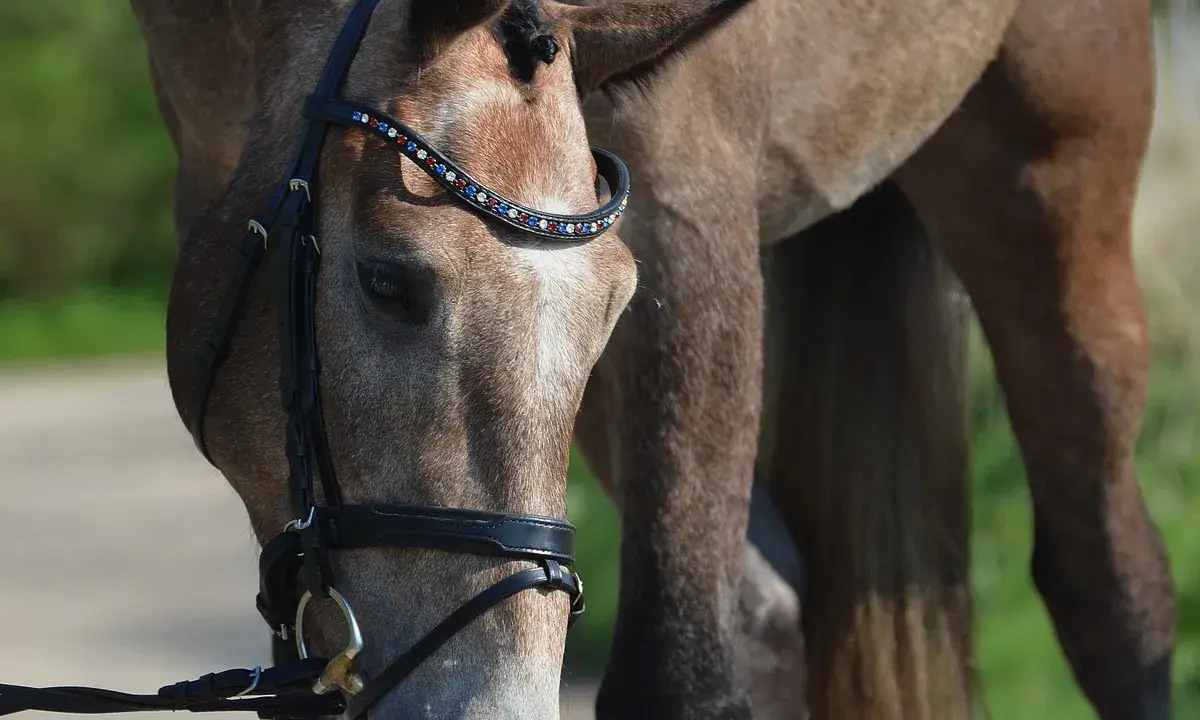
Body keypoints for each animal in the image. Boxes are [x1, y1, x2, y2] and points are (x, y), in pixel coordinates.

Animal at [128, 0, 1176, 718]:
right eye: (388, 283)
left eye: (612, 307)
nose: (485, 708)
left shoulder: (689, 217)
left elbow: (677, 677)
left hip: (1049, 185)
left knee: (1110, 587)